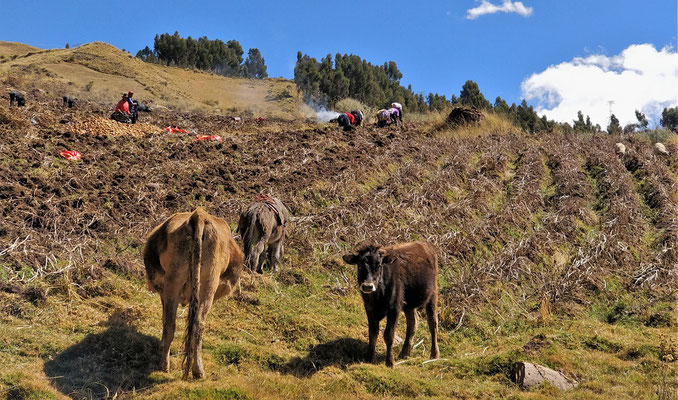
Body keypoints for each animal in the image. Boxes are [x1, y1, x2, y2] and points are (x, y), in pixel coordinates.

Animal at [145, 208, 246, 380]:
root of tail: (198, 215)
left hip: (179, 281)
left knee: (177, 324)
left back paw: (172, 366)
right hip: (206, 283)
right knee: (191, 325)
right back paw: (192, 369)